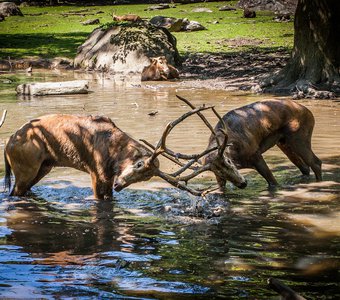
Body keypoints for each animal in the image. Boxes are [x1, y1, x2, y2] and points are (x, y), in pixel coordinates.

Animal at [175, 96, 322, 195]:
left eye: (228, 161)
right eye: (218, 171)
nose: (243, 184)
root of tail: (309, 111)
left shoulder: (255, 154)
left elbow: (273, 182)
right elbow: (222, 189)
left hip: (299, 137)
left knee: (316, 162)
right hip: (283, 142)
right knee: (305, 167)